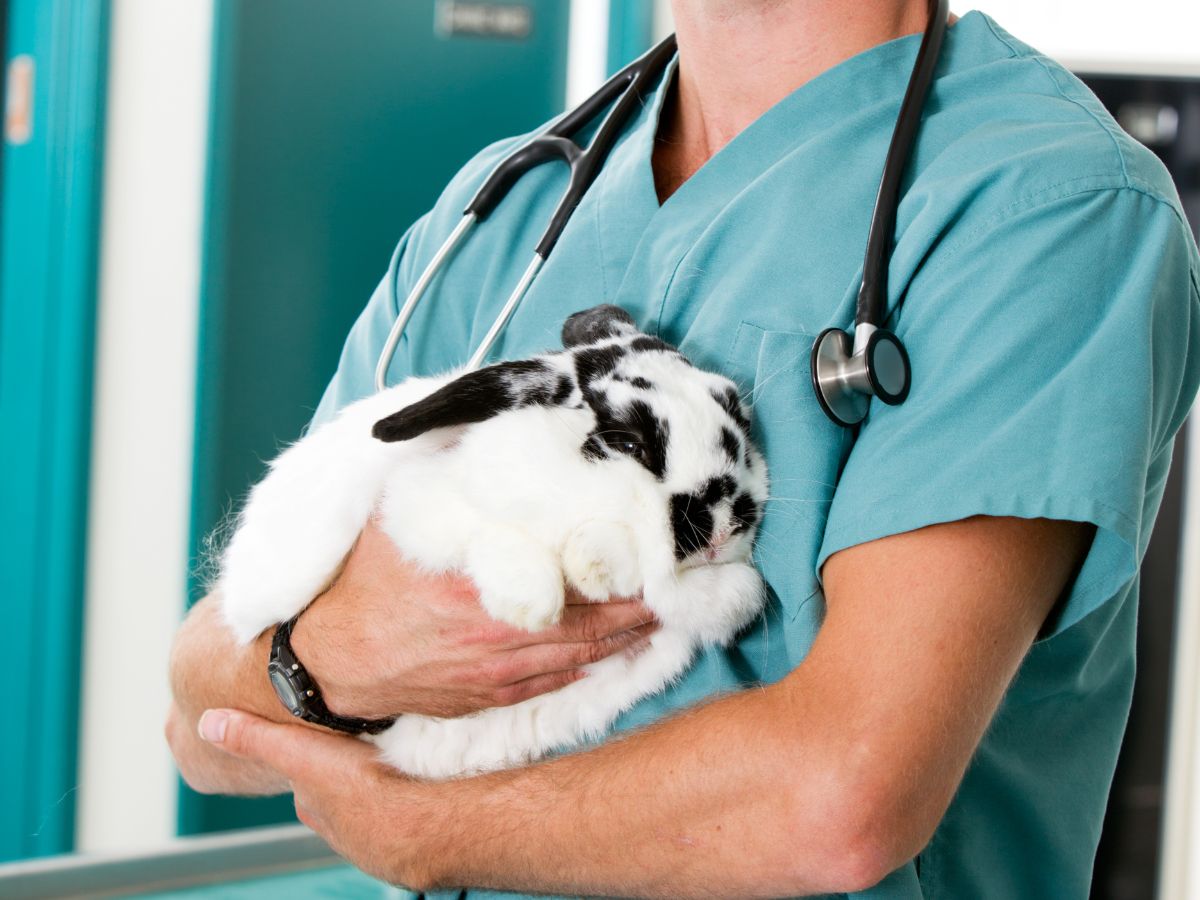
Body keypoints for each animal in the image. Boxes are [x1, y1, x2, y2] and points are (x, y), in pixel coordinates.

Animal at [219, 307, 763, 777]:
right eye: (628, 442)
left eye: (738, 414)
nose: (720, 526)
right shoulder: (420, 508)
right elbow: (490, 534)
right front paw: (534, 604)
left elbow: (726, 595)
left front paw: (597, 564)